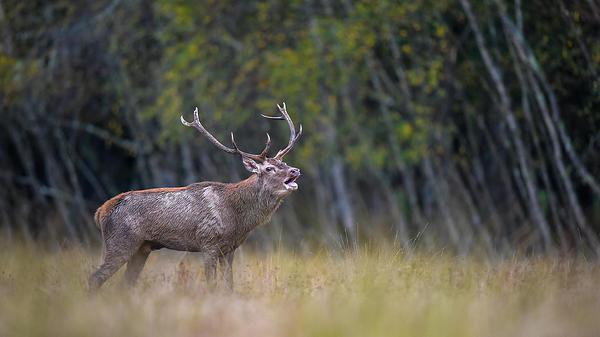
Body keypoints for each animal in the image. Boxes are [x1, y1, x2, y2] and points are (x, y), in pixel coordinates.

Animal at [88, 103, 304, 292]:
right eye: (269, 168)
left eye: (285, 163)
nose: (295, 170)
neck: (238, 219)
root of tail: (100, 212)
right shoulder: (208, 243)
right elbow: (212, 284)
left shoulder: (230, 249)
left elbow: (229, 286)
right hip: (121, 242)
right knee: (95, 278)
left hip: (142, 248)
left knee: (126, 283)